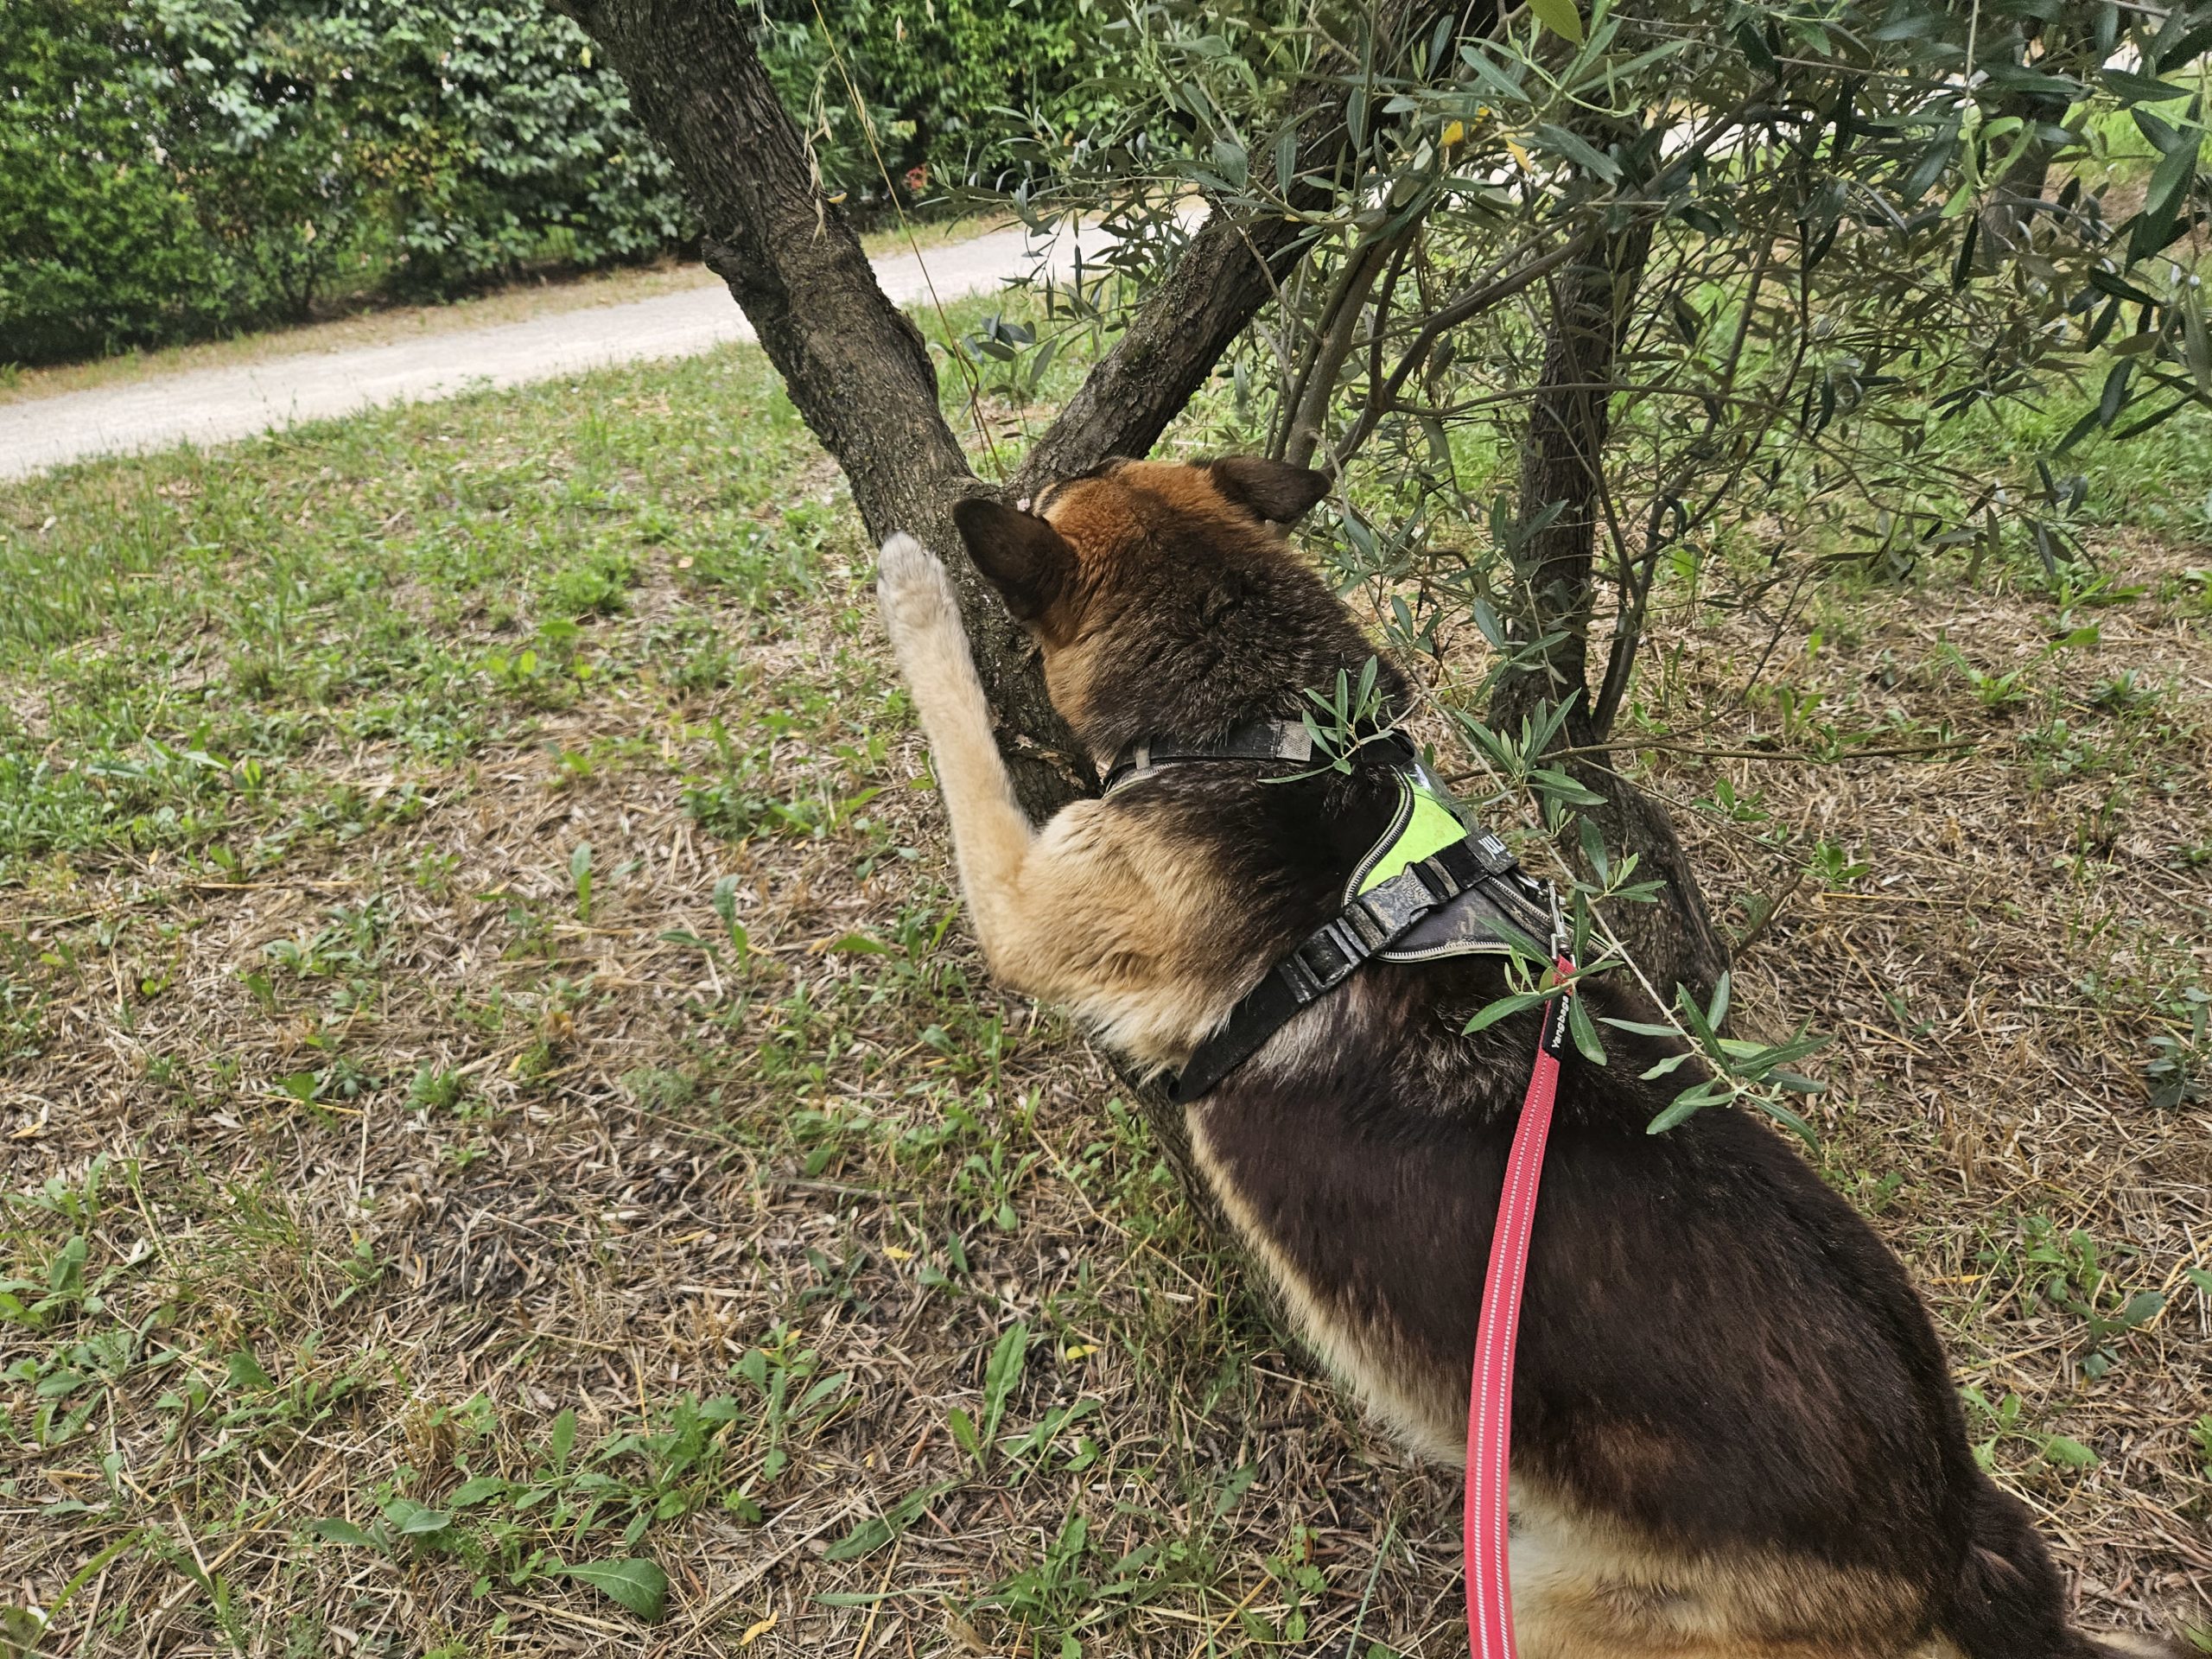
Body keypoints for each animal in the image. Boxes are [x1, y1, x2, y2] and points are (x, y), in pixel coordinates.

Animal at [867, 457, 2177, 1659]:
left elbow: (959, 734)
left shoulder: (1027, 902)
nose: (1013, 479)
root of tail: (1950, 1539)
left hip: (1550, 1603)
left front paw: (912, 585)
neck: (1277, 732)